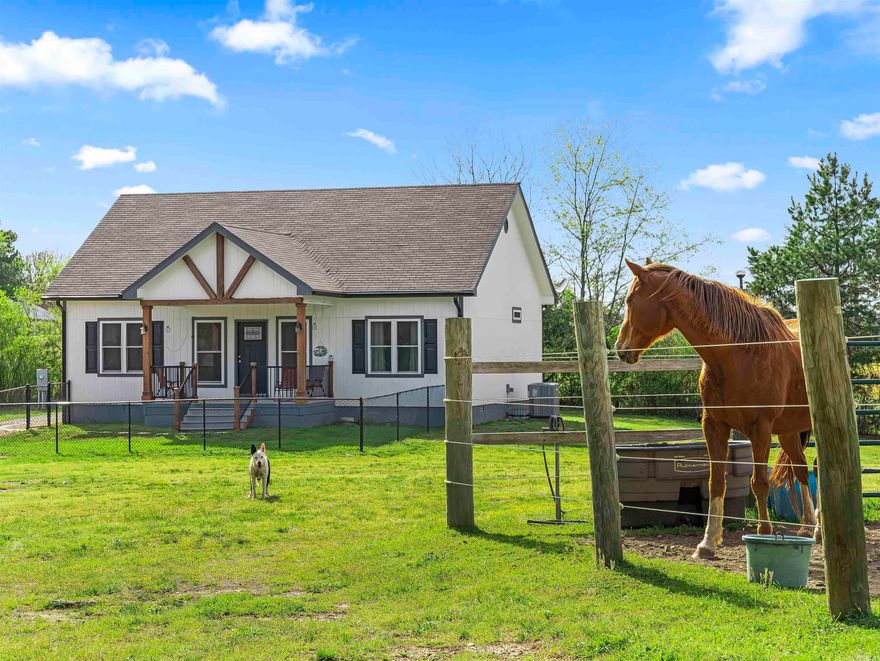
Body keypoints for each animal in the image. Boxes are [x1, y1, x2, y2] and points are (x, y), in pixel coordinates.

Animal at [615, 260, 818, 559]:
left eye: (630, 300)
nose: (620, 349)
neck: (738, 353)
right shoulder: (714, 426)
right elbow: (716, 483)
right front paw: (708, 542)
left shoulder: (759, 430)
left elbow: (759, 482)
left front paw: (764, 534)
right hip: (789, 432)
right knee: (802, 469)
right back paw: (808, 527)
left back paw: (818, 529)